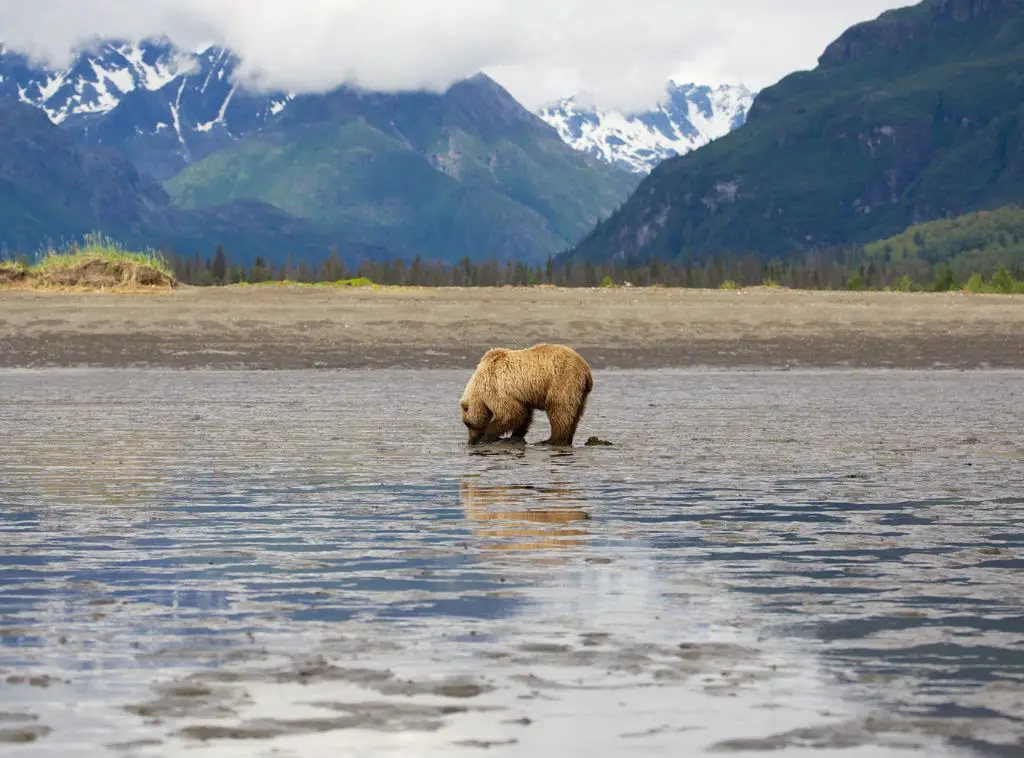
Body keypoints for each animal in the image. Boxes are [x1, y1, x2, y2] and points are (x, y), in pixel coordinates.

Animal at [458, 342, 593, 444]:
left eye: (468, 424)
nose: (471, 441)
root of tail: (586, 368)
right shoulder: (521, 396)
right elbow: (523, 415)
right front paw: (515, 436)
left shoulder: (497, 388)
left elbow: (510, 414)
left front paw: (487, 436)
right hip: (581, 394)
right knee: (575, 415)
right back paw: (567, 439)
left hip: (562, 381)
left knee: (559, 410)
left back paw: (550, 440)